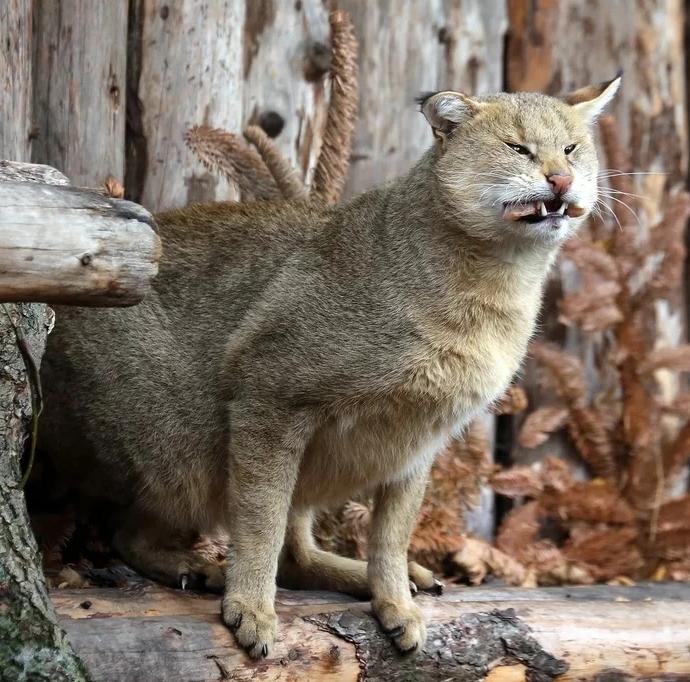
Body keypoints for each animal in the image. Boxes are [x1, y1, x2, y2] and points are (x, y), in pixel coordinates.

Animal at [40, 77, 620, 656]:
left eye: (571, 148)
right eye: (517, 148)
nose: (561, 178)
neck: (493, 287)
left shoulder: (418, 439)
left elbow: (390, 535)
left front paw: (393, 602)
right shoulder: (270, 393)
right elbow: (260, 519)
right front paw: (251, 606)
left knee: (294, 552)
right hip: (173, 449)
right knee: (127, 531)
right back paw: (197, 567)